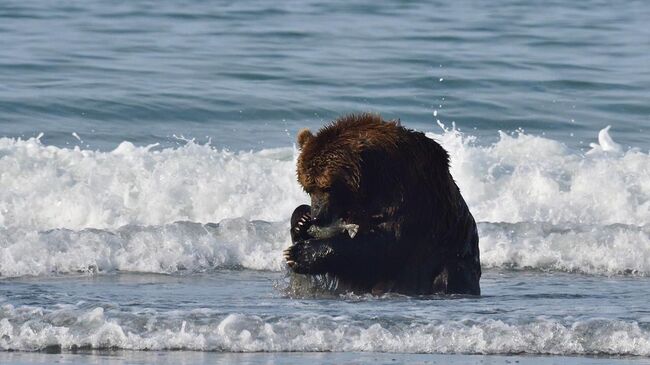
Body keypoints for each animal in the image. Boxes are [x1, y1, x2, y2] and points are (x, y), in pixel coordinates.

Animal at [280, 112, 478, 294]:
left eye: (327, 187)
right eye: (308, 187)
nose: (318, 216)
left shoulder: (409, 194)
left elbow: (386, 242)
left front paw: (299, 254)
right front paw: (301, 221)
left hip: (451, 261)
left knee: (447, 272)